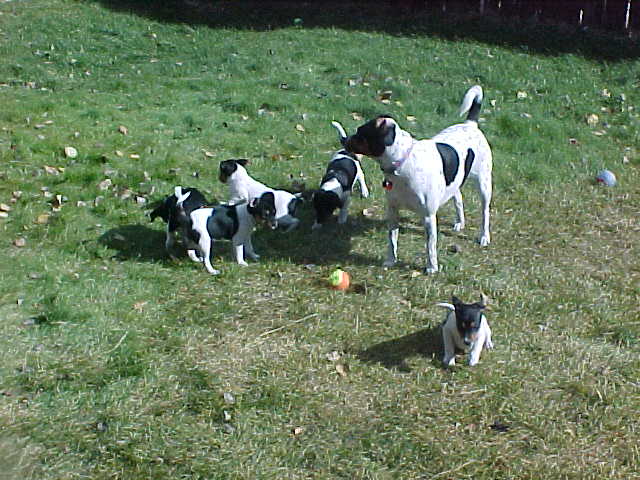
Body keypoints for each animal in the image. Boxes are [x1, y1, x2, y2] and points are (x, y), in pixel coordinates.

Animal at [344, 85, 490, 274]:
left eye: (360, 133)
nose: (344, 139)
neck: (402, 164)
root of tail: (470, 125)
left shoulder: (428, 217)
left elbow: (430, 246)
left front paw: (432, 267)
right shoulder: (393, 211)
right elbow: (392, 240)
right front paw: (390, 261)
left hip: (484, 184)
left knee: (485, 212)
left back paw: (484, 236)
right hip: (455, 181)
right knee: (458, 197)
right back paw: (460, 223)